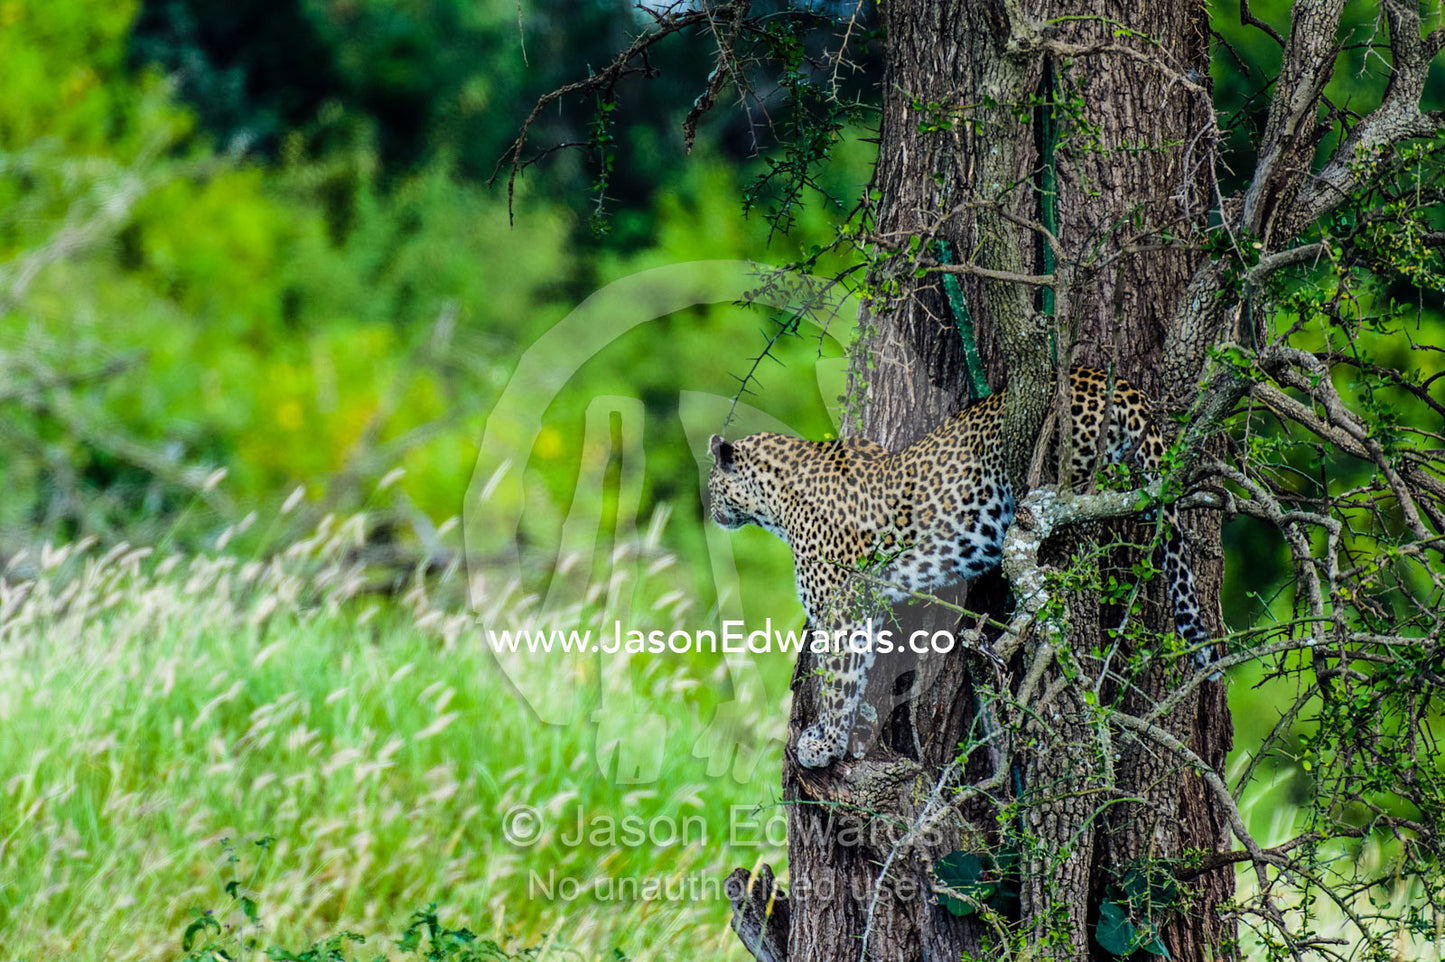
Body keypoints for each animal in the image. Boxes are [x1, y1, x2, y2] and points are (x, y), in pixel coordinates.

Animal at [707, 366, 1211, 769]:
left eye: (711, 485)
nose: (710, 511)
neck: (779, 499)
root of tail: (1104, 376)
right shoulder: (866, 605)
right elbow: (859, 673)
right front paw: (853, 727)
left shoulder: (840, 608)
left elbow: (839, 678)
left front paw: (826, 742)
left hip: (1066, 469)